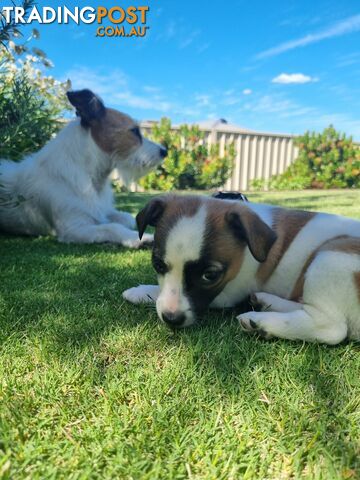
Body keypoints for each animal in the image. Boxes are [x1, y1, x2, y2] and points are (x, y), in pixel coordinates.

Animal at [0, 89, 166, 248]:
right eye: (134, 131)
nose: (164, 151)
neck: (93, 179)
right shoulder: (74, 229)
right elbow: (112, 227)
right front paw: (139, 238)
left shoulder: (103, 211)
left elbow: (127, 218)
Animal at [123, 193, 360, 344]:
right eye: (158, 265)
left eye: (210, 275)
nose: (171, 319)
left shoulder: (228, 292)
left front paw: (141, 291)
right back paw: (265, 302)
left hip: (332, 255)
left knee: (330, 328)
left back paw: (263, 322)